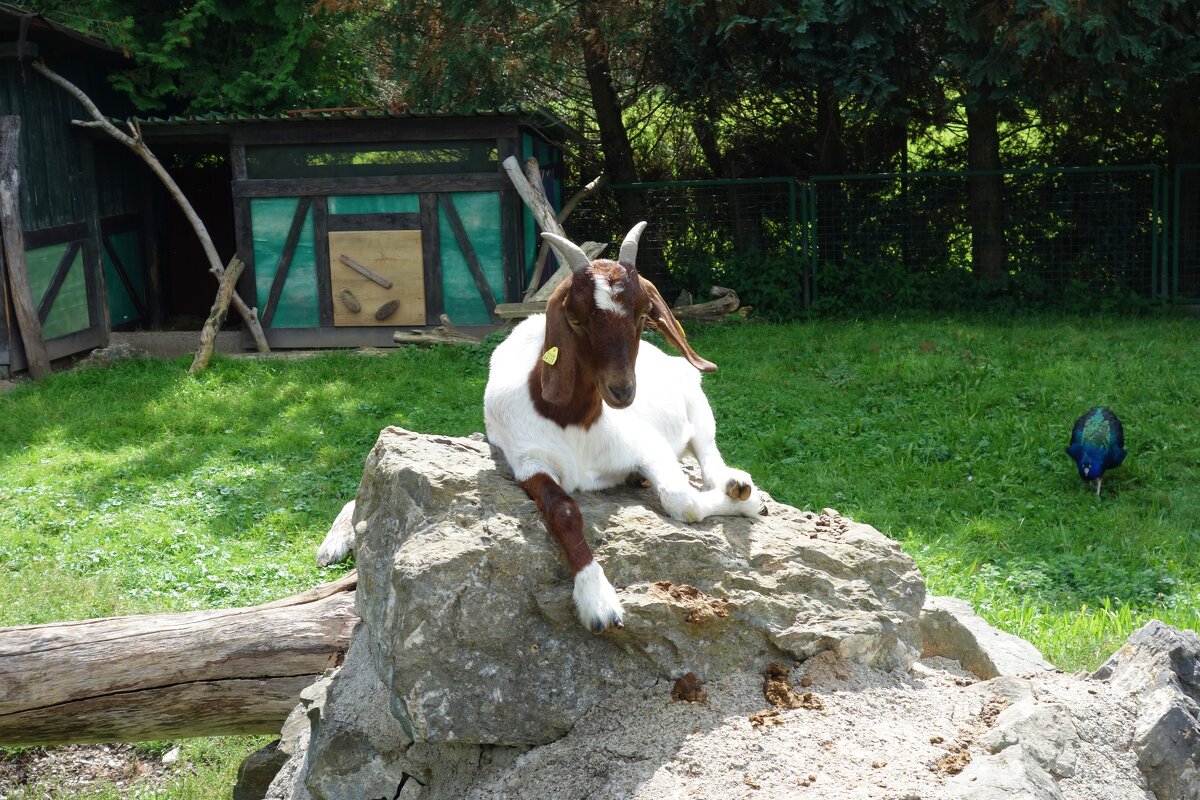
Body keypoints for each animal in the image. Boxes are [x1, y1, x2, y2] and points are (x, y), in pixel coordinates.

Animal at [482, 221, 763, 633]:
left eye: (645, 314)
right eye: (576, 318)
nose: (622, 390)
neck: (574, 422)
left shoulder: (648, 446)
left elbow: (683, 502)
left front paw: (752, 503)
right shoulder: (528, 460)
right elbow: (563, 510)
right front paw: (596, 598)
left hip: (696, 399)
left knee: (708, 453)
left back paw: (736, 483)